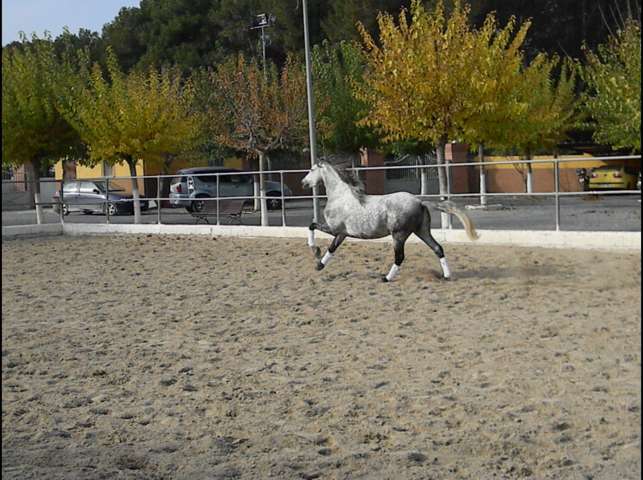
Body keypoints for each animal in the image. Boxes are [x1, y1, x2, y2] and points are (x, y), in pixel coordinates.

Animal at [301, 159, 479, 282]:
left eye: (311, 169)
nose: (303, 183)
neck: (340, 196)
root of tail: (419, 201)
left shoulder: (335, 229)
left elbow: (312, 226)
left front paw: (315, 251)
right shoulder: (342, 234)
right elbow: (332, 248)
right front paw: (319, 265)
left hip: (399, 235)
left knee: (400, 257)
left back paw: (386, 278)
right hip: (421, 231)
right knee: (438, 248)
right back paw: (447, 276)